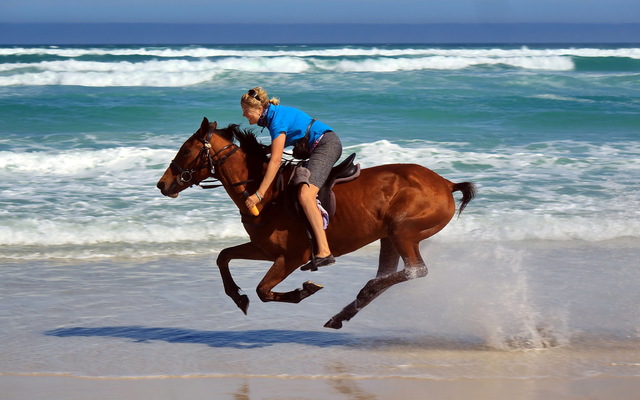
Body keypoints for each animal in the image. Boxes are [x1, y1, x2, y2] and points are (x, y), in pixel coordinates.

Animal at [157, 117, 476, 329]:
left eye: (186, 150)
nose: (162, 184)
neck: (265, 191)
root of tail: (446, 184)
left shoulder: (291, 257)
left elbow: (263, 290)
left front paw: (304, 290)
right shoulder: (267, 250)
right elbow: (224, 257)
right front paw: (237, 297)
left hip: (402, 231)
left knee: (414, 271)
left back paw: (360, 294)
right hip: (389, 237)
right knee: (390, 275)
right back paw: (344, 312)